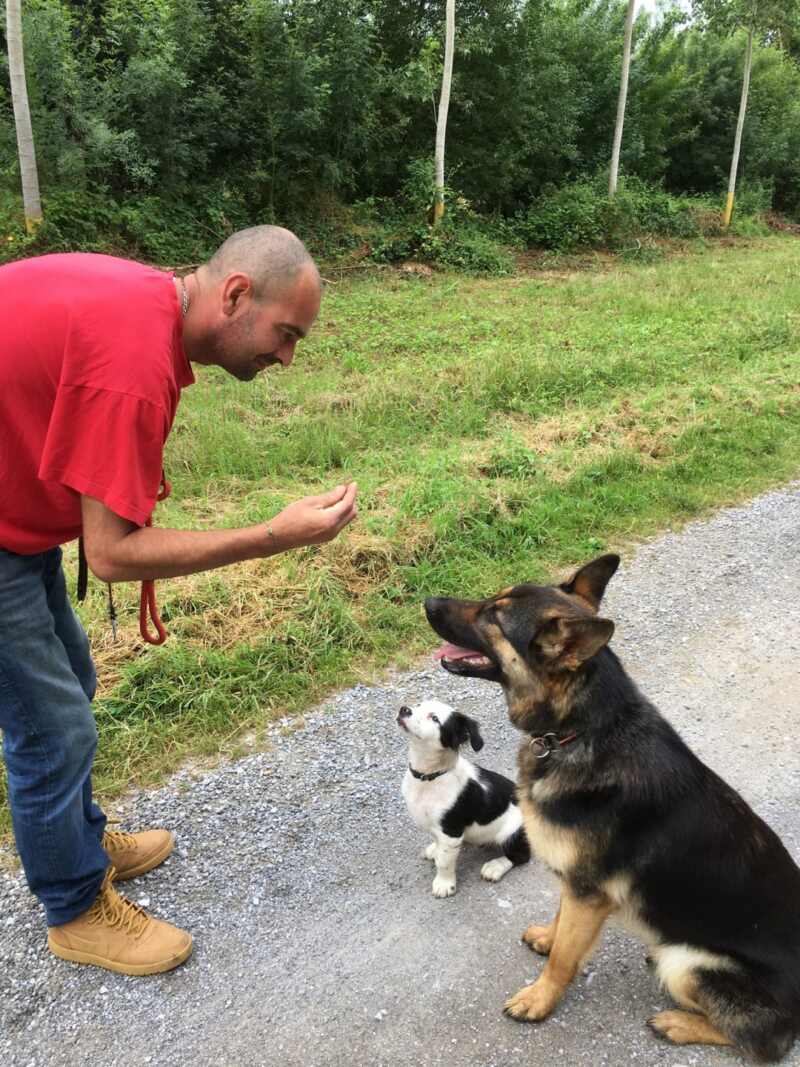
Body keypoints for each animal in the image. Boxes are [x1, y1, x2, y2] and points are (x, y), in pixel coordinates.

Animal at [398, 695, 533, 896]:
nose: (404, 709)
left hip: (510, 831)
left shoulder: (450, 831)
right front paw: (435, 849)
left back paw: (495, 866)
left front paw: (444, 884)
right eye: (418, 705)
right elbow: (437, 843)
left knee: (521, 855)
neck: (430, 777)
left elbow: (444, 862)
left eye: (435, 718)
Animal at [426, 554, 800, 1062]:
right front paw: (547, 937)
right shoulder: (575, 886)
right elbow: (561, 923)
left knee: (764, 1042)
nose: (426, 599)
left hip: (686, 961)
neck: (579, 730)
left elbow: (564, 958)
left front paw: (539, 998)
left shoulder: (589, 892)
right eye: (492, 600)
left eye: (493, 617)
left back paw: (677, 1024)